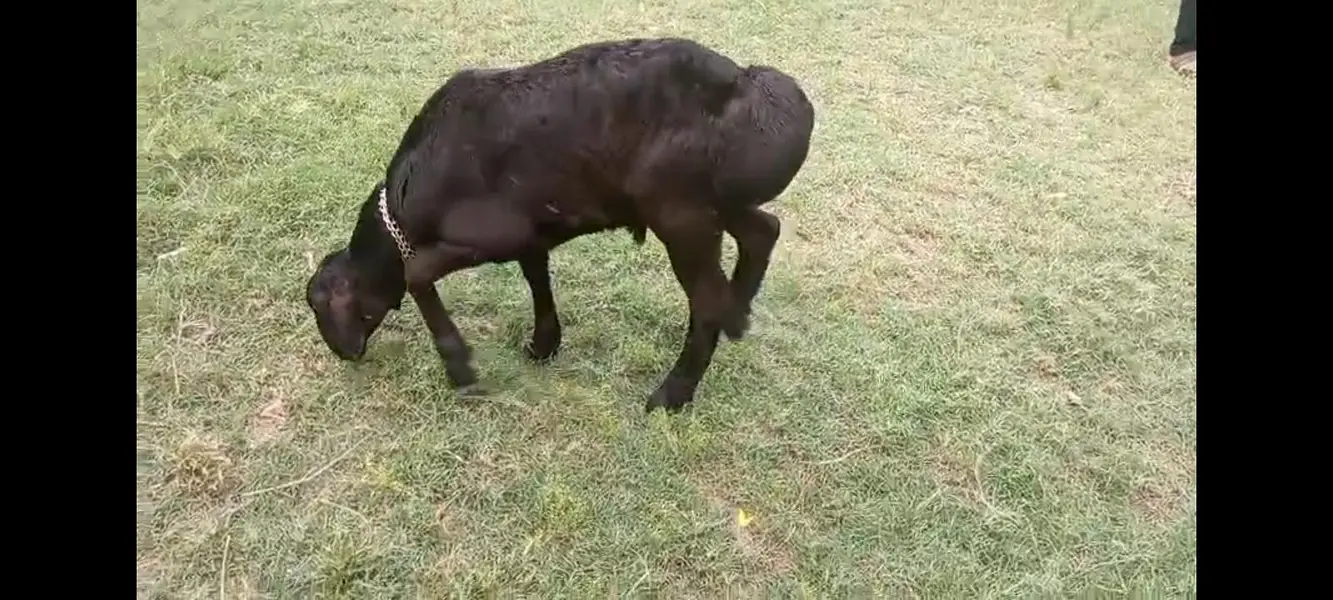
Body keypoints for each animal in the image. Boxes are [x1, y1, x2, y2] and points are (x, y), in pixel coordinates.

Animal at [304, 37, 815, 413]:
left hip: (679, 211)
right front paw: (544, 343)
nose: (344, 352)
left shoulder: (489, 234)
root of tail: (754, 88)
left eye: (320, 304)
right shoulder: (531, 231)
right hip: (711, 205)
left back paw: (674, 393)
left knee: (709, 298)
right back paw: (738, 315)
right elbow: (536, 275)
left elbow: (416, 274)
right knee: (763, 230)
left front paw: (461, 368)